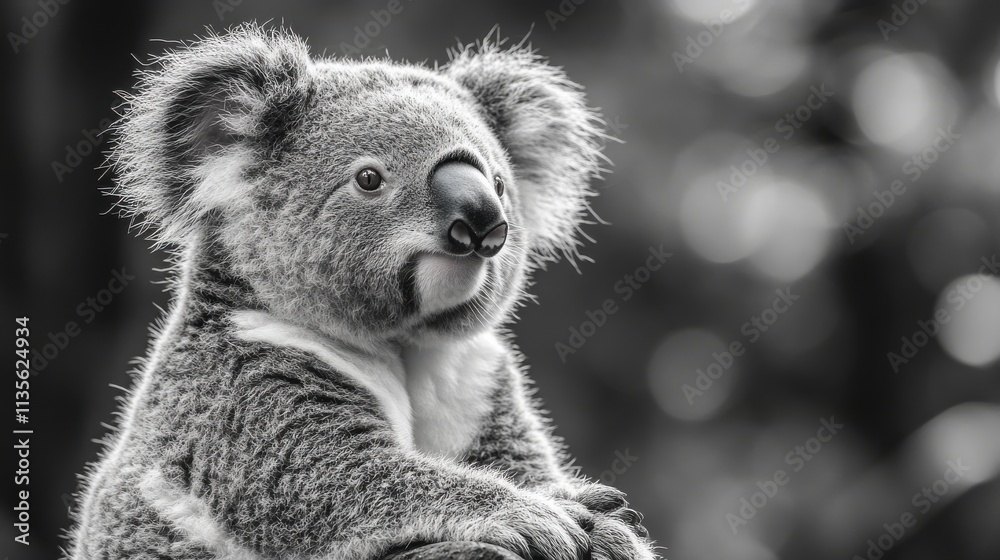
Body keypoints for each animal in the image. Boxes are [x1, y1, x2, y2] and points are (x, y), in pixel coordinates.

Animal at [69, 24, 657, 560]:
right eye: (369, 179)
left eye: (498, 185)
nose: (483, 223)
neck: (402, 343)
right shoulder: (237, 388)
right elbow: (326, 475)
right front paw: (538, 514)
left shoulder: (476, 381)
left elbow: (518, 462)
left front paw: (603, 523)